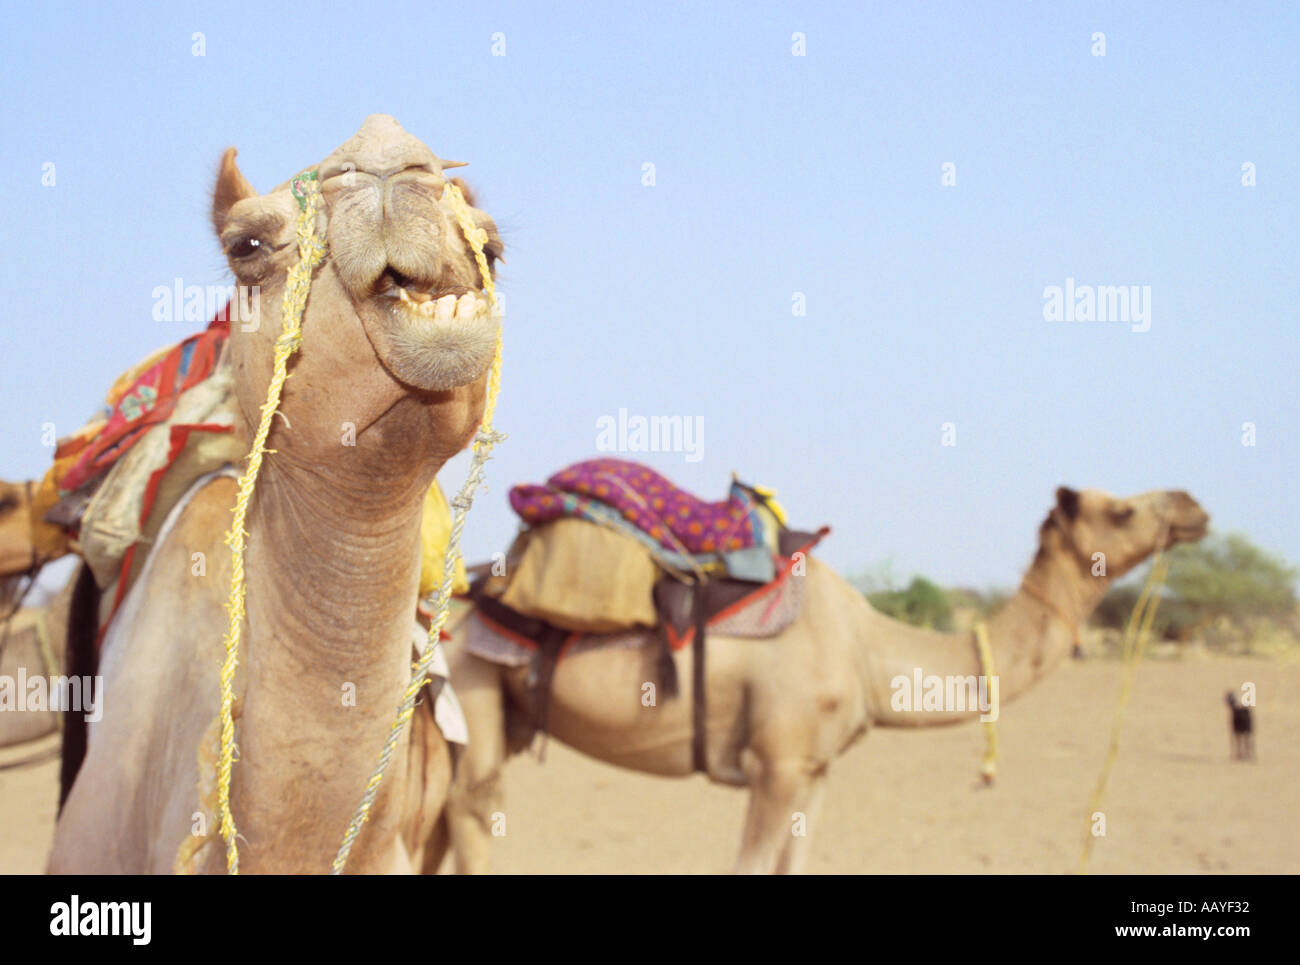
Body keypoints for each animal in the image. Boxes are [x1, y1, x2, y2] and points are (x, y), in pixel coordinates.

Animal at [443, 485, 1209, 874]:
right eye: (1122, 509)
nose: (1192, 505)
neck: (869, 651)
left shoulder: (814, 772)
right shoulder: (775, 763)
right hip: (470, 686)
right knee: (471, 816)